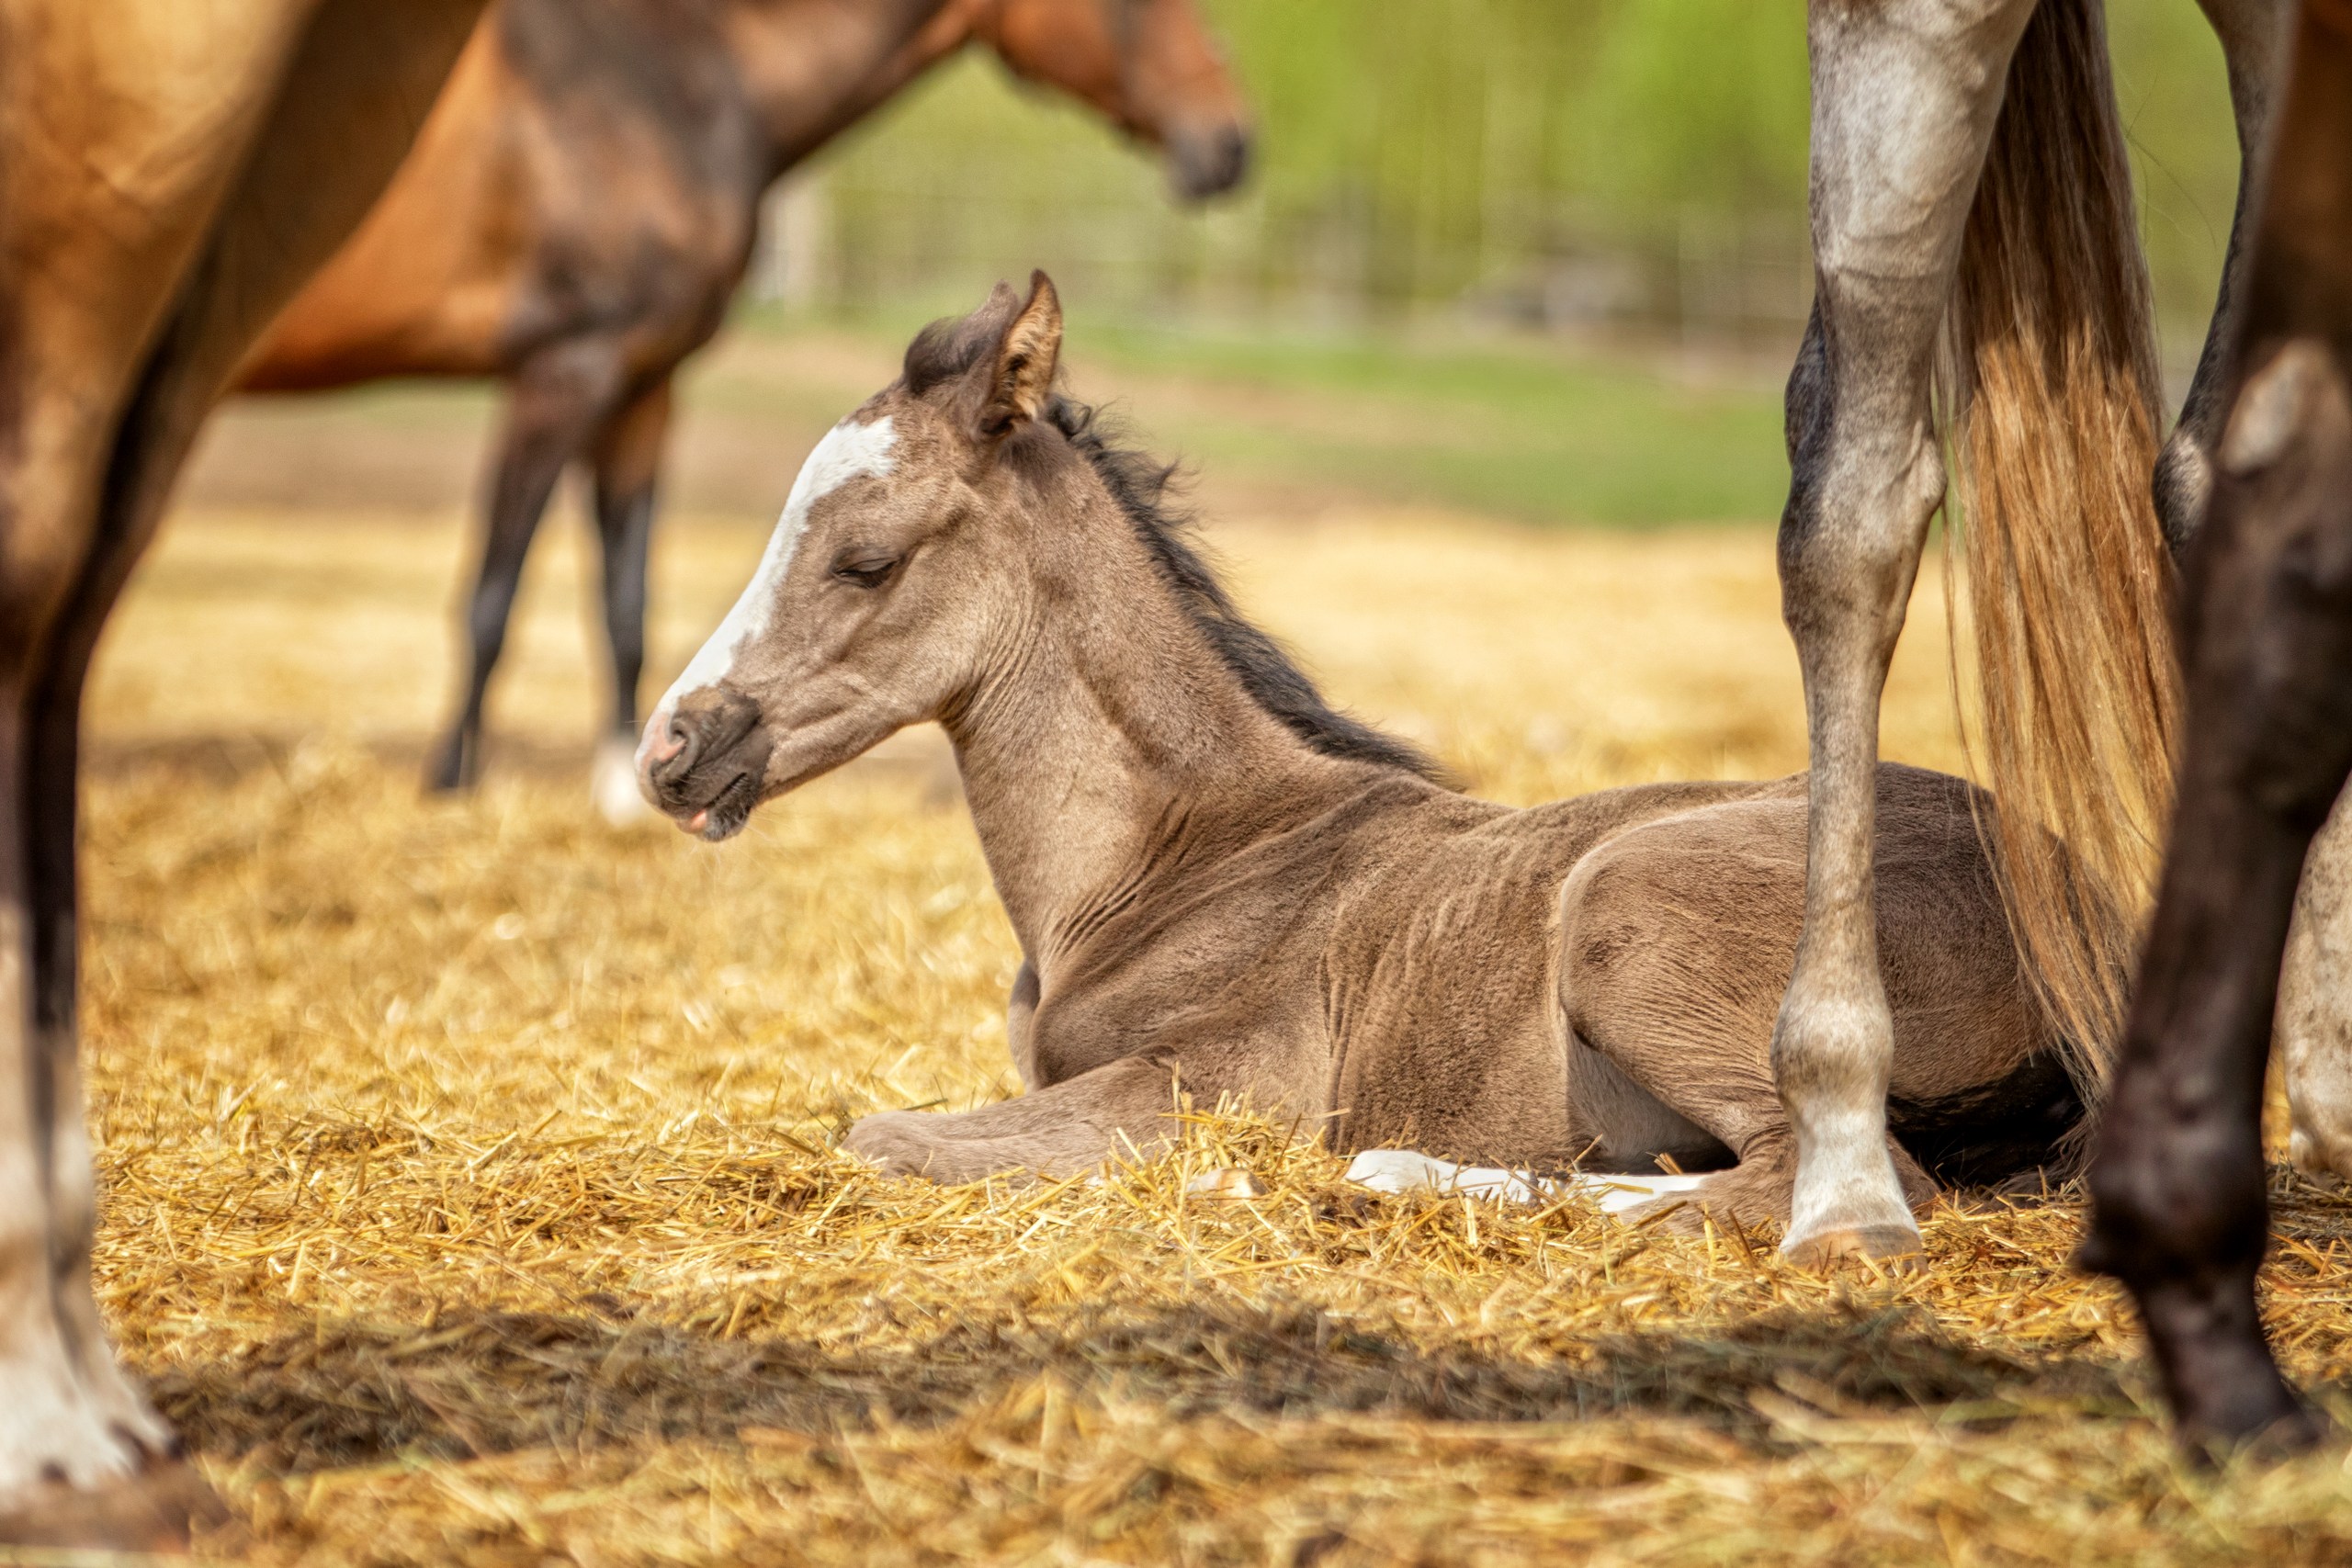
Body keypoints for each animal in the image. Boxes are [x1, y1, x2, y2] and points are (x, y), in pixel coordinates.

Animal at [635, 278, 2088, 1241]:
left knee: (1822, 1176)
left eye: (864, 559)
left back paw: (1372, 1176)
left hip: (1626, 909)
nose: (672, 747)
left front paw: (1227, 1174)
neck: (1173, 859)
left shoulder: (1209, 1080)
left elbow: (878, 1135)